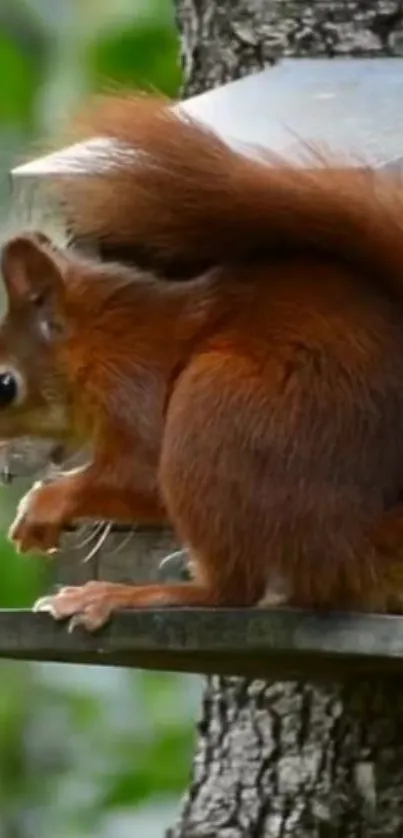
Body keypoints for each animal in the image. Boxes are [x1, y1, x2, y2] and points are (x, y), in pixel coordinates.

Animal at [1, 93, 403, 632]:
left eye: (5, 385)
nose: (9, 467)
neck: (99, 342)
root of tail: (361, 543)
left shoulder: (132, 381)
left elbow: (142, 475)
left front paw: (45, 503)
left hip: (213, 413)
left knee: (231, 590)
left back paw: (123, 595)